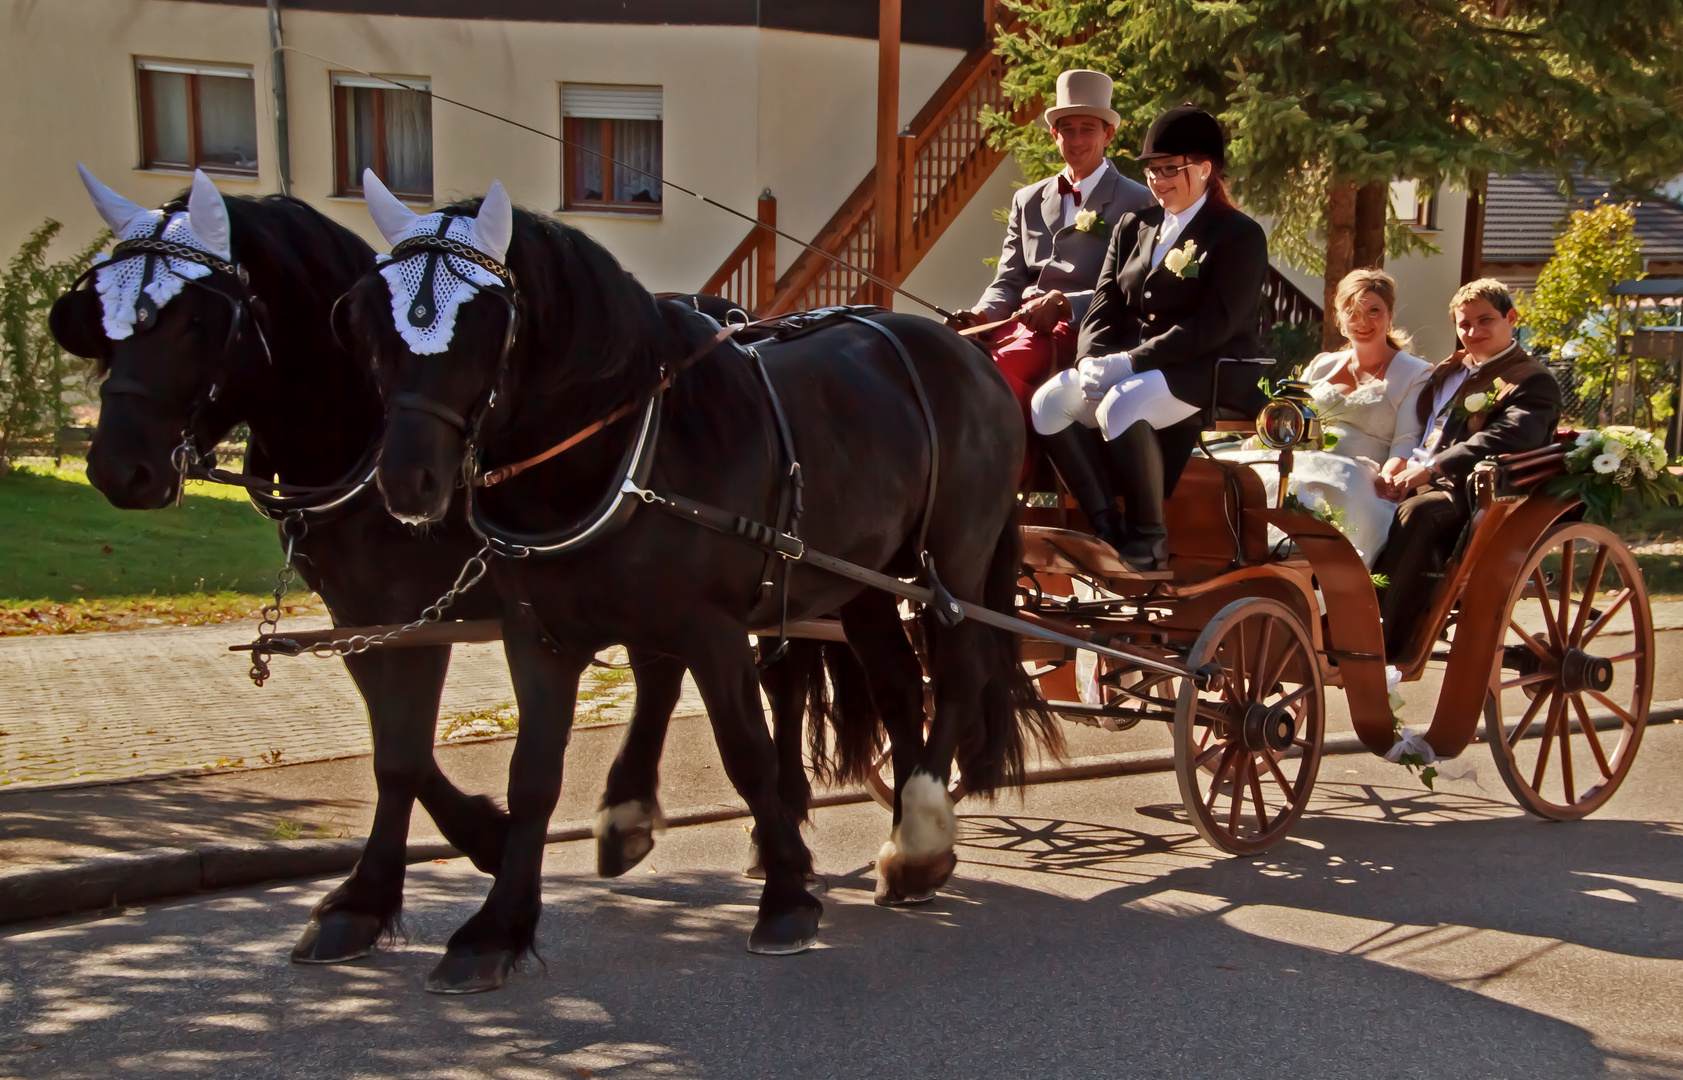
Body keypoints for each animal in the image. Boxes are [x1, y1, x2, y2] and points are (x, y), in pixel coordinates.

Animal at [46, 168, 760, 955]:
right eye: (96, 316)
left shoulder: (423, 615)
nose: (118, 470)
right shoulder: (360, 616)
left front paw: (380, 889)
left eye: (199, 320)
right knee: (662, 671)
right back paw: (631, 815)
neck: (362, 430)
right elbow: (395, 744)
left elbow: (403, 751)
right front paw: (467, 846)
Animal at [339, 178, 1050, 995]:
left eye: (488, 319)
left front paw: (785, 897)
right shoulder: (538, 635)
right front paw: (495, 928)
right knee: (902, 688)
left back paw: (924, 824)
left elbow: (745, 751)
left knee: (959, 674)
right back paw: (914, 849)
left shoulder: (710, 629)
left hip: (953, 563)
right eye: (370, 317)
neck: (629, 444)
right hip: (862, 579)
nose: (407, 481)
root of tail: (969, 351)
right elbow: (533, 777)